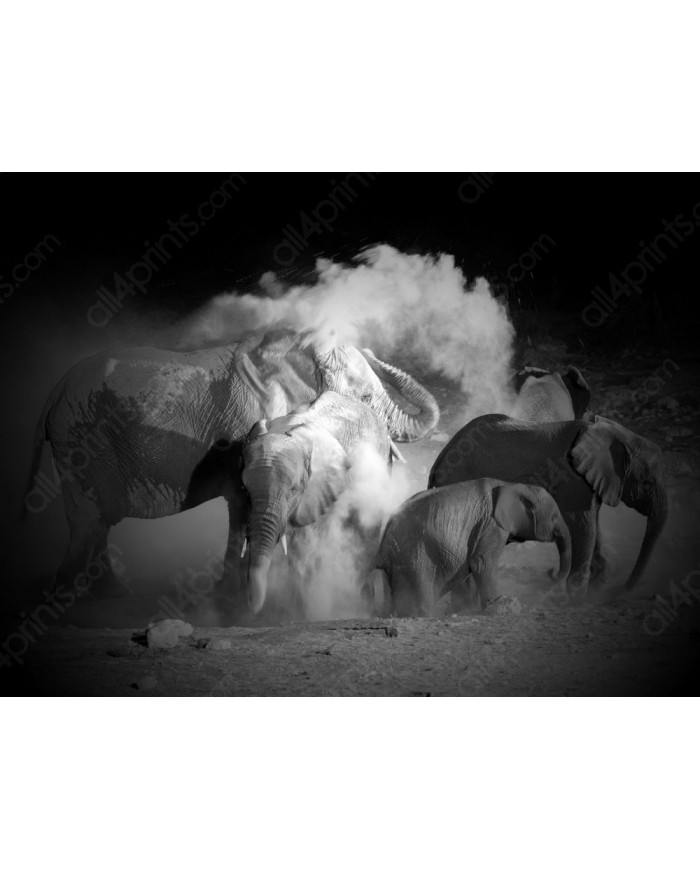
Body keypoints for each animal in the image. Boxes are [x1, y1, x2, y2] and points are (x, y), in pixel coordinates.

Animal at [376, 479, 572, 615]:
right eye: (554, 517)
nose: (551, 572)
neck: (511, 485)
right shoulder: (492, 524)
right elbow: (481, 562)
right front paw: (495, 607)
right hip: (415, 559)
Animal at [428, 414, 667, 599]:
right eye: (647, 483)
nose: (620, 592)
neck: (611, 432)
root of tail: (439, 460)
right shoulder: (574, 482)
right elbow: (584, 528)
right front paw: (578, 600)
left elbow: (594, 528)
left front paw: (597, 588)